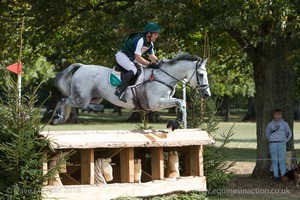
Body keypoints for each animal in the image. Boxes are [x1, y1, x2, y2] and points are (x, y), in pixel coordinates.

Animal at [52, 52, 211, 130]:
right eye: (201, 74)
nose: (207, 94)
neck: (163, 76)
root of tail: (82, 66)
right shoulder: (155, 103)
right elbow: (180, 101)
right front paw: (176, 123)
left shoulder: (162, 102)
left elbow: (181, 102)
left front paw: (175, 123)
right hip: (82, 99)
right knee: (63, 100)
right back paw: (57, 118)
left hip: (93, 99)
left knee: (67, 102)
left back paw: (61, 118)